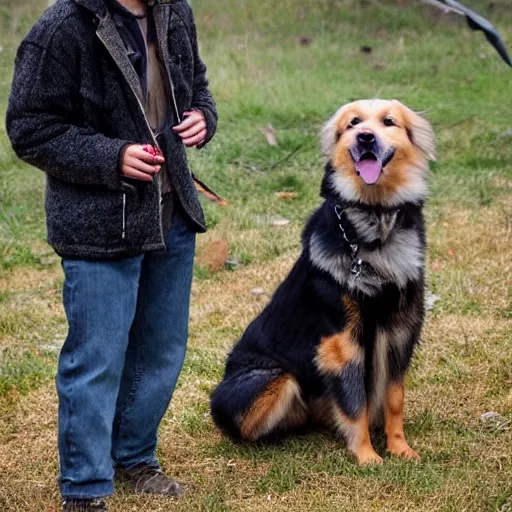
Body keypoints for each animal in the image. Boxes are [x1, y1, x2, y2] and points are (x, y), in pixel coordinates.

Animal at [210, 98, 434, 466]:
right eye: (353, 123)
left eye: (388, 122)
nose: (365, 137)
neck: (374, 227)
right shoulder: (341, 342)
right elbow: (356, 403)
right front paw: (366, 457)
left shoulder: (401, 330)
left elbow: (394, 398)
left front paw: (400, 448)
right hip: (276, 378)